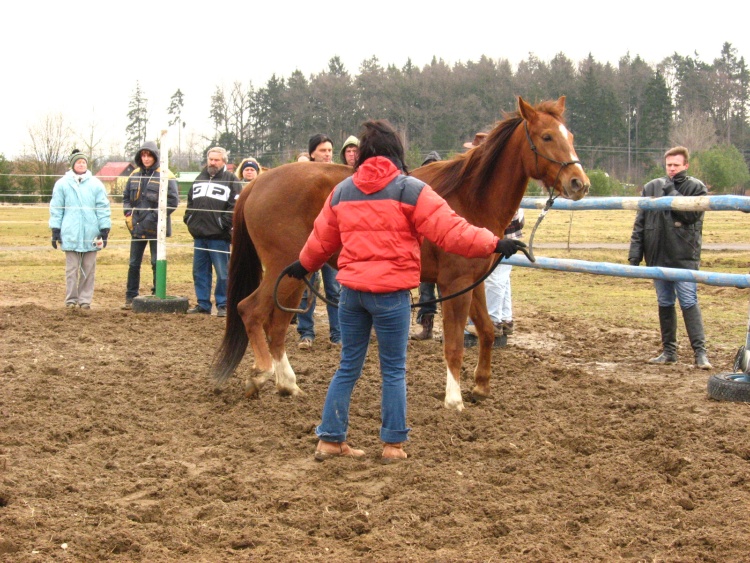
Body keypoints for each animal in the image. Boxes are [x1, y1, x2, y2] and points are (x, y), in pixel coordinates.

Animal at [209, 97, 592, 412]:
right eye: (546, 137)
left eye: (570, 135)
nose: (579, 183)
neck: (469, 198)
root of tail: (257, 183)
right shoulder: (456, 284)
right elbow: (454, 344)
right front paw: (454, 400)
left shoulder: (476, 282)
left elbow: (485, 330)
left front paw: (481, 388)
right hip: (282, 269)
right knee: (250, 311)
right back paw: (261, 374)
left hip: (295, 273)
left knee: (275, 325)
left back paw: (288, 385)